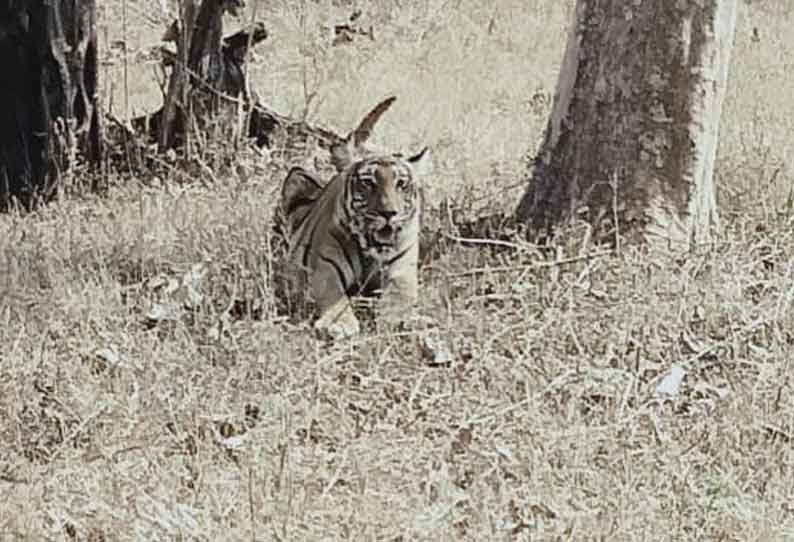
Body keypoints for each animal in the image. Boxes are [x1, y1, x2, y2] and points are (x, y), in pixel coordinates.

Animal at [276, 95, 430, 338]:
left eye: (401, 184)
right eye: (368, 182)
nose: (389, 213)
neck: (371, 254)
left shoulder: (403, 271)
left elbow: (400, 296)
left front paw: (397, 319)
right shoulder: (324, 267)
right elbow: (335, 296)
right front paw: (339, 324)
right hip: (297, 177)